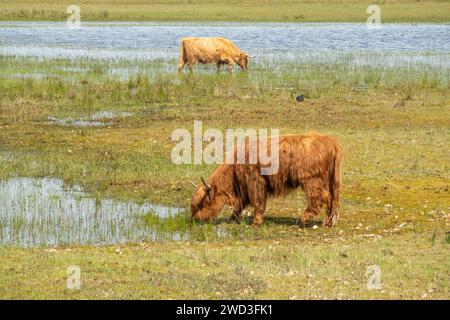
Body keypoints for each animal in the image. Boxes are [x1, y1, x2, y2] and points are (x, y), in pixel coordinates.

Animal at [191, 132, 344, 228]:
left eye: (201, 204)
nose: (195, 219)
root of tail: (331, 142)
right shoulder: (245, 188)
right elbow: (240, 204)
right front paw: (232, 219)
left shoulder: (255, 182)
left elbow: (258, 202)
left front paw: (256, 221)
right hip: (331, 179)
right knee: (333, 199)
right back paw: (329, 222)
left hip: (311, 179)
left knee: (320, 197)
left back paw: (304, 218)